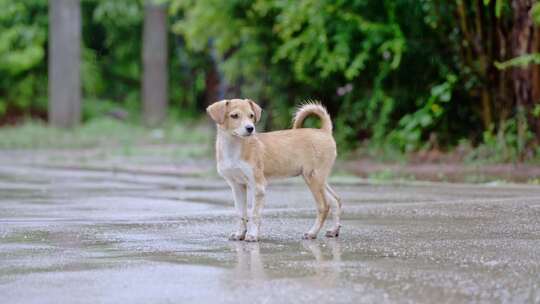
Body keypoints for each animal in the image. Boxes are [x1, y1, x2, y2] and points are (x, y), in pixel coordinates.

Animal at [207, 98, 342, 241]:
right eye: (234, 116)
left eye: (251, 116)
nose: (250, 128)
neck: (234, 147)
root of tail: (324, 131)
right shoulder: (237, 186)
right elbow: (240, 213)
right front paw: (240, 234)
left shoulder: (258, 186)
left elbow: (255, 214)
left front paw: (252, 235)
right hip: (319, 179)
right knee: (335, 200)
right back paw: (334, 230)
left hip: (313, 178)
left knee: (324, 206)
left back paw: (312, 233)